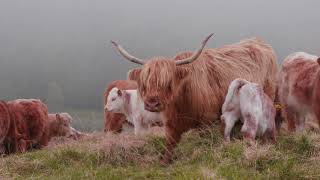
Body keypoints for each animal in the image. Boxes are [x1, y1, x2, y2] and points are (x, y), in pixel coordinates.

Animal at [112, 33, 278, 165]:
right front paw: (164, 162)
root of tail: (259, 41)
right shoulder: (171, 124)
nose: (152, 104)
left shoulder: (206, 122)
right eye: (145, 82)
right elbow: (169, 144)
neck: (183, 103)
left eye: (168, 83)